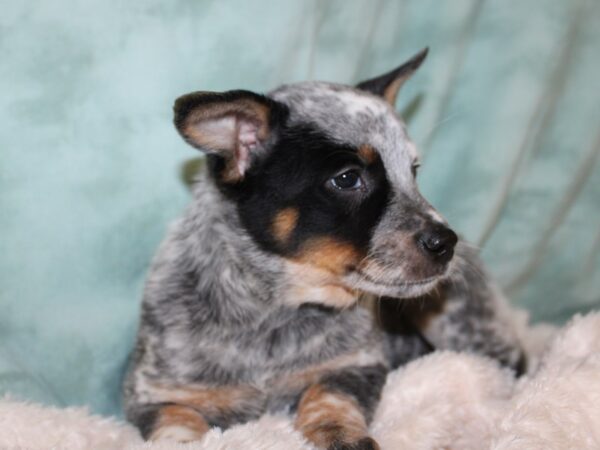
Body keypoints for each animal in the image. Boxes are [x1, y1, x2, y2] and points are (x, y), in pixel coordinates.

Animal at [122, 49, 524, 450]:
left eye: (413, 171)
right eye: (347, 179)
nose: (446, 243)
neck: (273, 310)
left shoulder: (356, 365)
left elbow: (327, 395)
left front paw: (342, 435)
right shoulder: (154, 395)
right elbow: (177, 425)